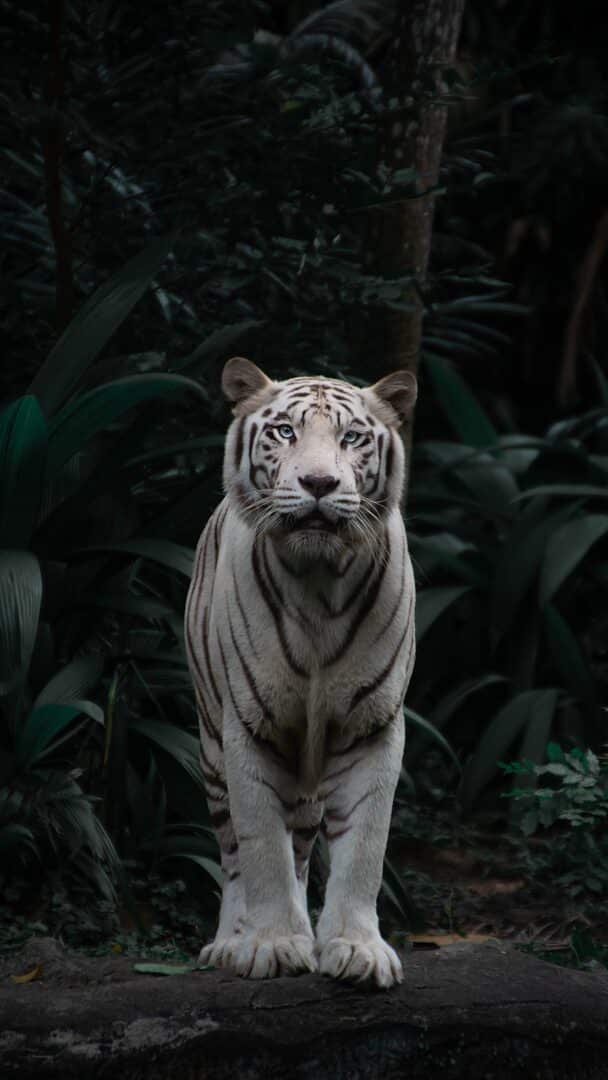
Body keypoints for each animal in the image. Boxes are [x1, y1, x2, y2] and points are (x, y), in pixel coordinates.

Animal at [183, 356, 416, 989]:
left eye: (352, 437)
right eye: (285, 432)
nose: (318, 484)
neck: (318, 584)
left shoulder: (372, 727)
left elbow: (365, 846)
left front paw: (356, 949)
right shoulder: (248, 727)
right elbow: (262, 846)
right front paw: (272, 944)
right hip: (211, 746)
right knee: (233, 852)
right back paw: (230, 942)